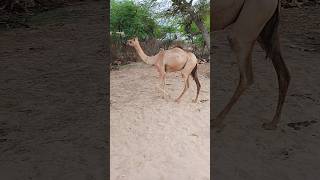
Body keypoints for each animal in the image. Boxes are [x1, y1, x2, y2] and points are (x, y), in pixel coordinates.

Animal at [211, 0, 292, 130]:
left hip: (246, 29)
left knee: (247, 77)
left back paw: (217, 120)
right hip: (264, 32)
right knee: (283, 73)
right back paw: (272, 123)